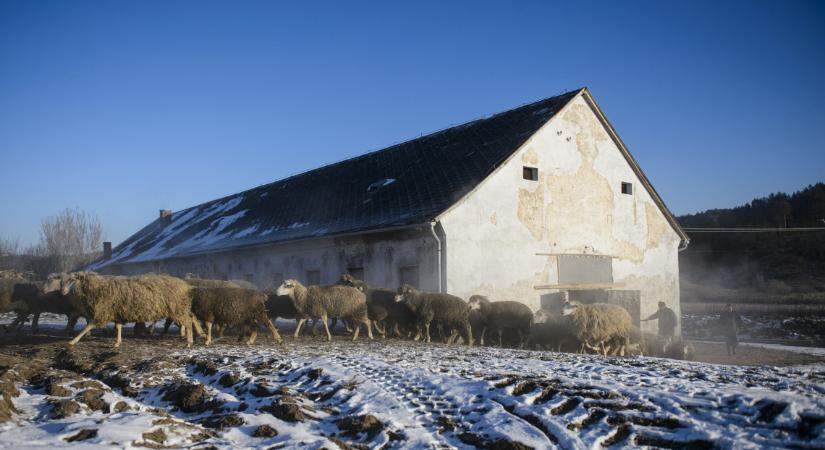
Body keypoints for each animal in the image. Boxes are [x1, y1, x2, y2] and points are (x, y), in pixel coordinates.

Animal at [43, 270, 203, 348]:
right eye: (61, 281)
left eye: (72, 280)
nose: (63, 292)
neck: (96, 288)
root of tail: (184, 285)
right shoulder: (116, 311)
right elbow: (118, 327)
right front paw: (117, 343)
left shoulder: (102, 312)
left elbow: (87, 327)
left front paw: (73, 341)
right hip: (179, 307)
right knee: (191, 318)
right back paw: (197, 335)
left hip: (176, 308)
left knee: (188, 321)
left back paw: (189, 341)